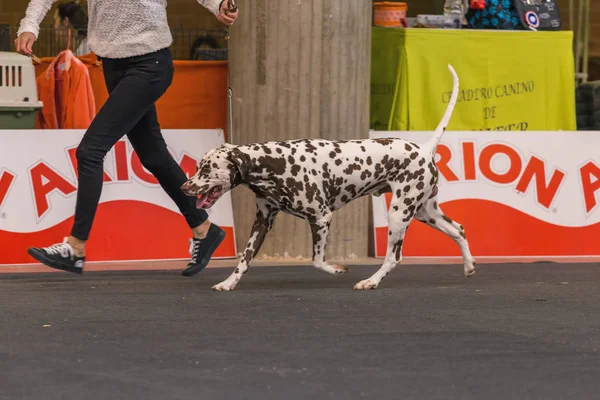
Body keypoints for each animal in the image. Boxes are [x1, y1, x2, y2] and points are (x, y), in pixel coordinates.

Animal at [180, 65, 476, 290]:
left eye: (206, 169)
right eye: (198, 166)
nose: (184, 187)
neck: (273, 162)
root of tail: (424, 149)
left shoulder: (321, 217)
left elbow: (317, 261)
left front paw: (337, 269)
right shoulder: (262, 221)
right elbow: (244, 260)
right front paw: (228, 283)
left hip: (398, 214)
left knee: (394, 258)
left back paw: (371, 281)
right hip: (425, 213)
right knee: (459, 230)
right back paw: (469, 266)